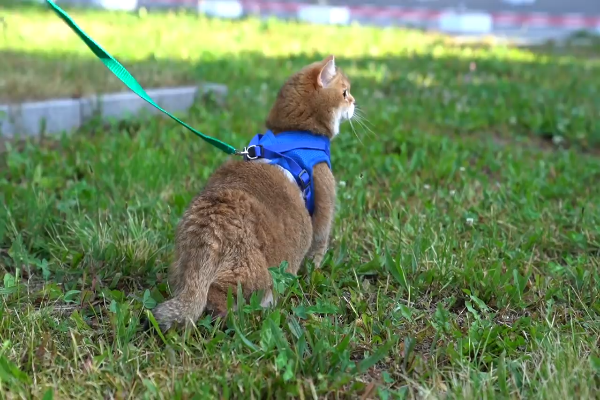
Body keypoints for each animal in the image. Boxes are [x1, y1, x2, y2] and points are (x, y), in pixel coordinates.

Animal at [151, 56, 356, 332]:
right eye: (344, 92)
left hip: (182, 263)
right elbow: (319, 245)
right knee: (220, 297)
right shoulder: (324, 201)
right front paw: (314, 272)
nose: (354, 101)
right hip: (250, 271)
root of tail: (209, 229)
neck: (294, 133)